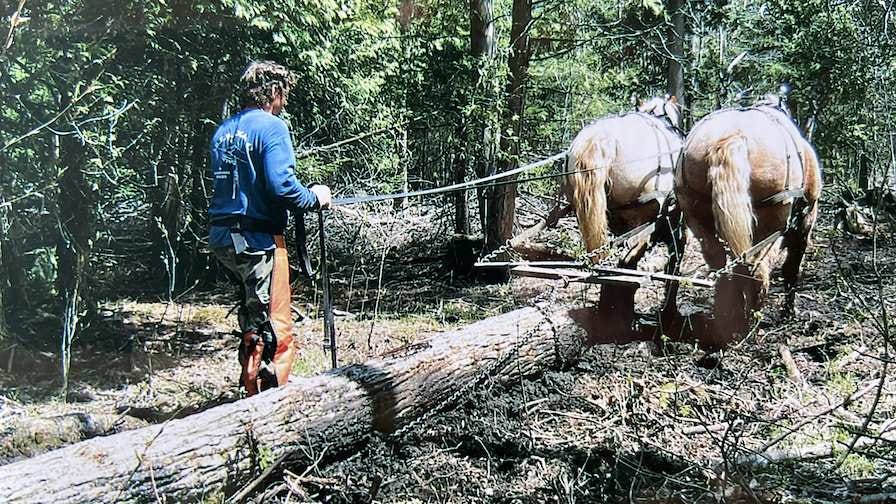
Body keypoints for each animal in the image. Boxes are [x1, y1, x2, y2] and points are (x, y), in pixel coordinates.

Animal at [568, 94, 688, 338]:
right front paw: (669, 314)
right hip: (642, 217)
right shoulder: (674, 227)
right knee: (628, 258)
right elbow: (674, 265)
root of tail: (599, 139)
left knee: (615, 263)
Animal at [676, 95, 824, 346]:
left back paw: (728, 315)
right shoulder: (804, 225)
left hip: (695, 213)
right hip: (770, 224)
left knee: (722, 264)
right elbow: (791, 268)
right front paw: (788, 311)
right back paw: (751, 324)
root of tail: (732, 137)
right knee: (757, 268)